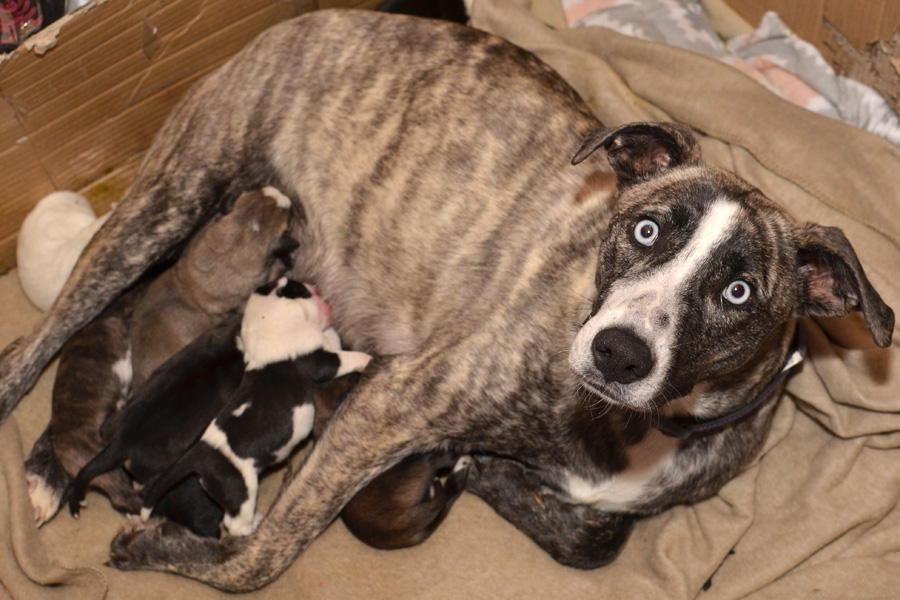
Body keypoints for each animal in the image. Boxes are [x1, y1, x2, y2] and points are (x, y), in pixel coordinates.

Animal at [140, 278, 370, 536]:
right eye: (301, 288)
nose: (315, 286)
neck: (269, 318)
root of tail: (198, 454)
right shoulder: (319, 360)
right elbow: (344, 356)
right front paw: (368, 358)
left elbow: (333, 338)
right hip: (242, 491)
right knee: (234, 525)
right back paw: (256, 523)